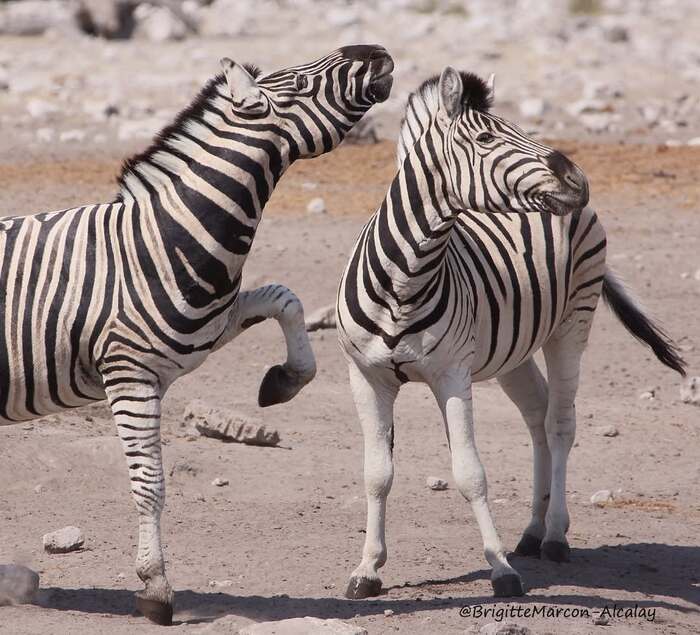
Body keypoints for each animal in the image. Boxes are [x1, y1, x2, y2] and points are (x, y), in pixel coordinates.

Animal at [1, 46, 394, 628]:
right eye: (301, 82)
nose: (377, 53)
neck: (168, 237)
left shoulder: (213, 325)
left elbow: (285, 298)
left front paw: (283, 381)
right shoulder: (130, 374)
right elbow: (150, 484)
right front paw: (156, 589)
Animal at [336, 67, 688, 604]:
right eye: (485, 138)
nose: (579, 179)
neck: (405, 279)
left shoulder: (452, 375)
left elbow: (470, 474)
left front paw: (500, 569)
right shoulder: (366, 375)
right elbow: (376, 474)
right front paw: (368, 569)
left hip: (573, 323)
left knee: (560, 423)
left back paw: (556, 536)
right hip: (512, 350)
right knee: (537, 416)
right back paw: (531, 531)